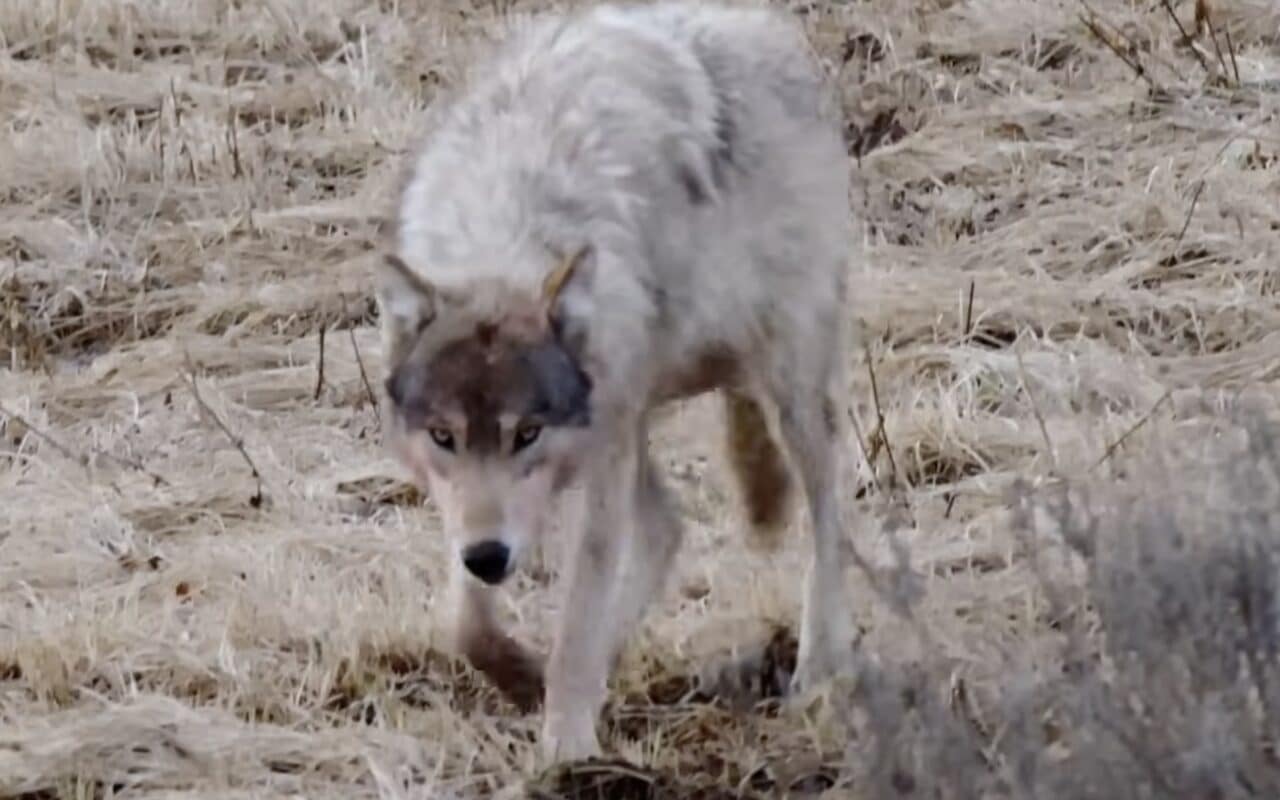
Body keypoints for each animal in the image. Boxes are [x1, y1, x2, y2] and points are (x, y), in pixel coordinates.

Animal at [375, 1, 858, 763]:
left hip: (789, 390)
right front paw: (522, 676)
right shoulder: (471, 502)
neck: (509, 230)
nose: (490, 557)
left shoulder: (596, 464)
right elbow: (465, 623)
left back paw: (815, 666)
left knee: (829, 506)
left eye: (528, 433)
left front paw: (566, 754)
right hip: (645, 413)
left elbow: (577, 617)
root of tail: (759, 23)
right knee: (668, 525)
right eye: (444, 436)